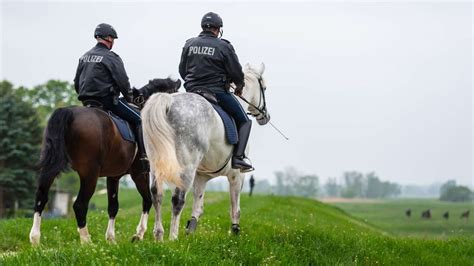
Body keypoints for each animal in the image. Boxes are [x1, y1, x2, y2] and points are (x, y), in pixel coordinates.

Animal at [29, 76, 181, 243]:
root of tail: (69, 112)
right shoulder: (140, 173)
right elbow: (147, 200)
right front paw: (139, 234)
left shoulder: (113, 176)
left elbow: (113, 206)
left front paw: (111, 239)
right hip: (90, 174)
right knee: (80, 205)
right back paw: (87, 242)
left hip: (51, 168)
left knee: (41, 198)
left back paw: (35, 239)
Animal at [142, 63, 270, 240]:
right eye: (264, 87)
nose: (265, 117)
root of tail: (169, 101)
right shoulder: (237, 175)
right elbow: (235, 207)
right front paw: (235, 231)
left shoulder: (201, 177)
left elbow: (198, 207)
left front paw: (190, 231)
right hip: (186, 166)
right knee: (177, 200)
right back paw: (173, 238)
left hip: (157, 164)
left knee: (156, 194)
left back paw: (159, 236)